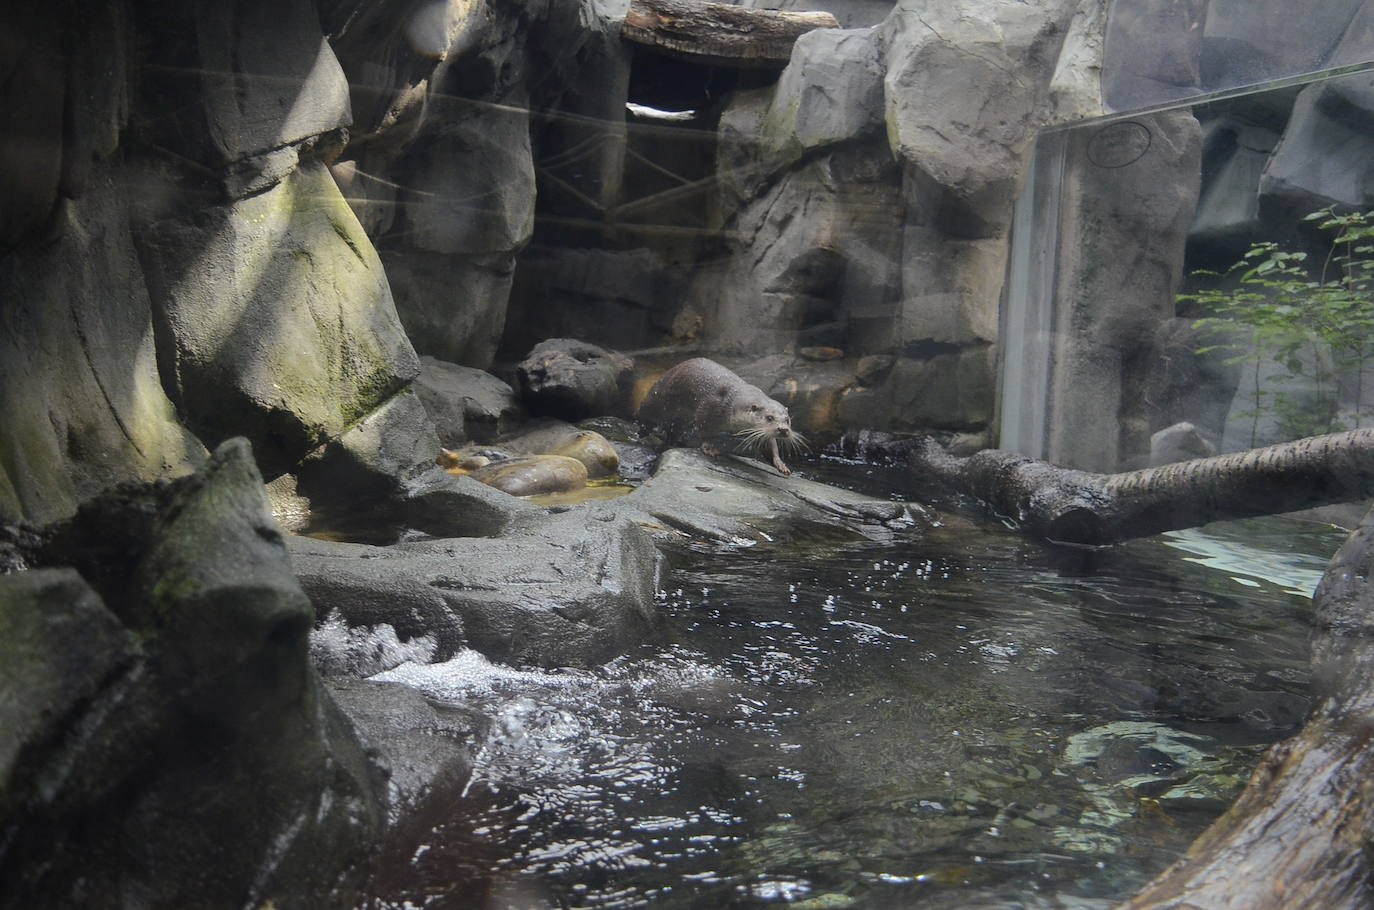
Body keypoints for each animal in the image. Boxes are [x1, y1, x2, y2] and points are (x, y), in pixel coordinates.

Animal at [634, 357, 802, 478]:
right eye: (769, 417)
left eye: (787, 419)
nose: (783, 430)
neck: (732, 403)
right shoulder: (709, 407)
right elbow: (703, 429)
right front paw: (709, 448)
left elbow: (770, 444)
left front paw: (781, 464)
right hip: (656, 398)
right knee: (646, 414)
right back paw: (643, 434)